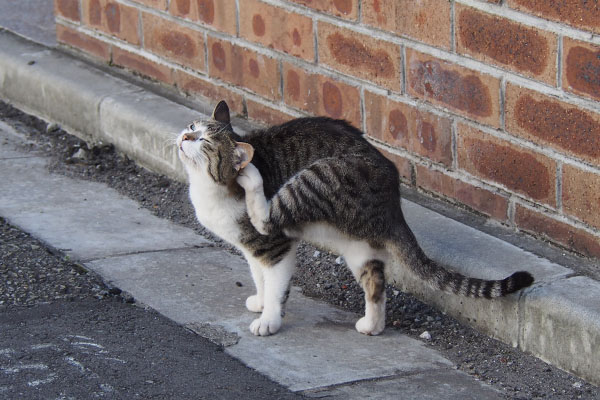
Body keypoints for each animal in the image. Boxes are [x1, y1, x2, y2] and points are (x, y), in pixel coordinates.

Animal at [175, 101, 536, 338]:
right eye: (192, 127)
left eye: (204, 141)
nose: (184, 137)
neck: (208, 187)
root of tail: (393, 200)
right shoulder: (251, 249)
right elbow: (259, 278)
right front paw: (260, 301)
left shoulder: (275, 247)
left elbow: (275, 285)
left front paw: (269, 319)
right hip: (357, 247)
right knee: (376, 285)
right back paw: (371, 326)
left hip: (317, 177)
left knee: (268, 214)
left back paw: (252, 179)